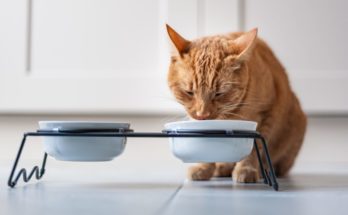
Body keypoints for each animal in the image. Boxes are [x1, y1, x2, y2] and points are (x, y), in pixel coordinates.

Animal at [166, 25, 308, 183]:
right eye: (189, 92)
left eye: (219, 93)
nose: (202, 114)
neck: (227, 117)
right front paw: (203, 167)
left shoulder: (266, 115)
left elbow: (254, 150)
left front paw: (246, 169)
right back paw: (222, 167)